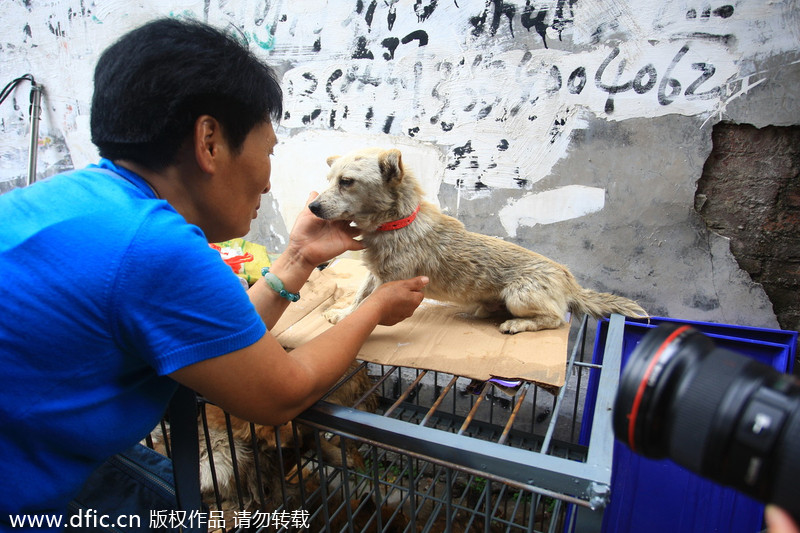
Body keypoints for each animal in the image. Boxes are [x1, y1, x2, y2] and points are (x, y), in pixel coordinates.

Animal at [310, 145, 648, 332]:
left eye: (346, 182)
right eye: (329, 180)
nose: (312, 208)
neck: (395, 223)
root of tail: (571, 282)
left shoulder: (390, 281)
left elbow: (366, 306)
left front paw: (346, 318)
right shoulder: (375, 274)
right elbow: (359, 297)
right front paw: (342, 313)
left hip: (518, 295)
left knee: (556, 318)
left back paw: (517, 324)